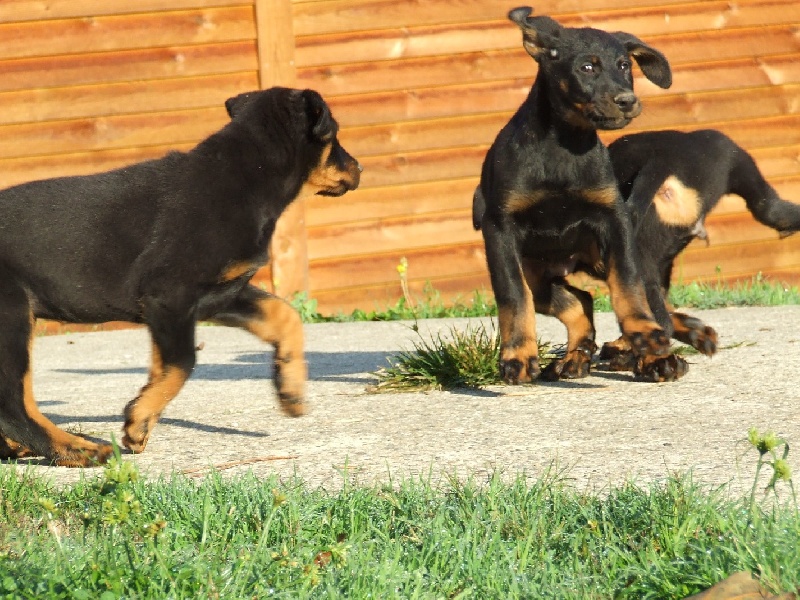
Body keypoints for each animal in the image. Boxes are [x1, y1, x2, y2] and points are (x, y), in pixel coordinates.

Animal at [0, 86, 362, 466]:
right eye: (334, 134)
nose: (360, 168)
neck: (247, 176)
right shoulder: (171, 295)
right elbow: (182, 362)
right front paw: (139, 419)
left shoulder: (220, 294)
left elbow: (284, 314)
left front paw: (290, 390)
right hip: (11, 314)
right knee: (13, 404)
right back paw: (79, 449)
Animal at [476, 7, 688, 384]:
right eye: (587, 67)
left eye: (625, 65)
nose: (627, 101)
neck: (565, 146)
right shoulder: (500, 228)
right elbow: (513, 294)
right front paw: (517, 356)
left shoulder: (613, 221)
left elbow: (628, 285)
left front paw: (643, 334)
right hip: (538, 274)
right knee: (578, 301)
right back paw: (574, 358)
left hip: (604, 256)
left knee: (651, 303)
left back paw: (652, 356)